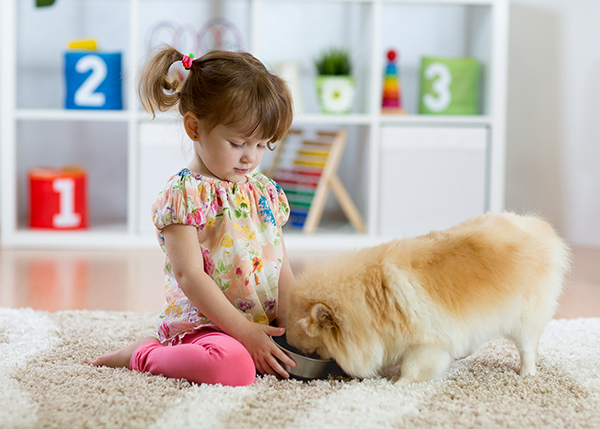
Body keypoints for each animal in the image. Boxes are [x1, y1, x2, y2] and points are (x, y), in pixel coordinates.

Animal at [286, 212, 572, 382]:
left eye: (312, 350)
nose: (302, 356)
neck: (372, 302)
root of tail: (536, 226)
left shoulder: (426, 344)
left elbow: (411, 368)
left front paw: (398, 383)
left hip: (524, 319)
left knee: (527, 347)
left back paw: (527, 373)